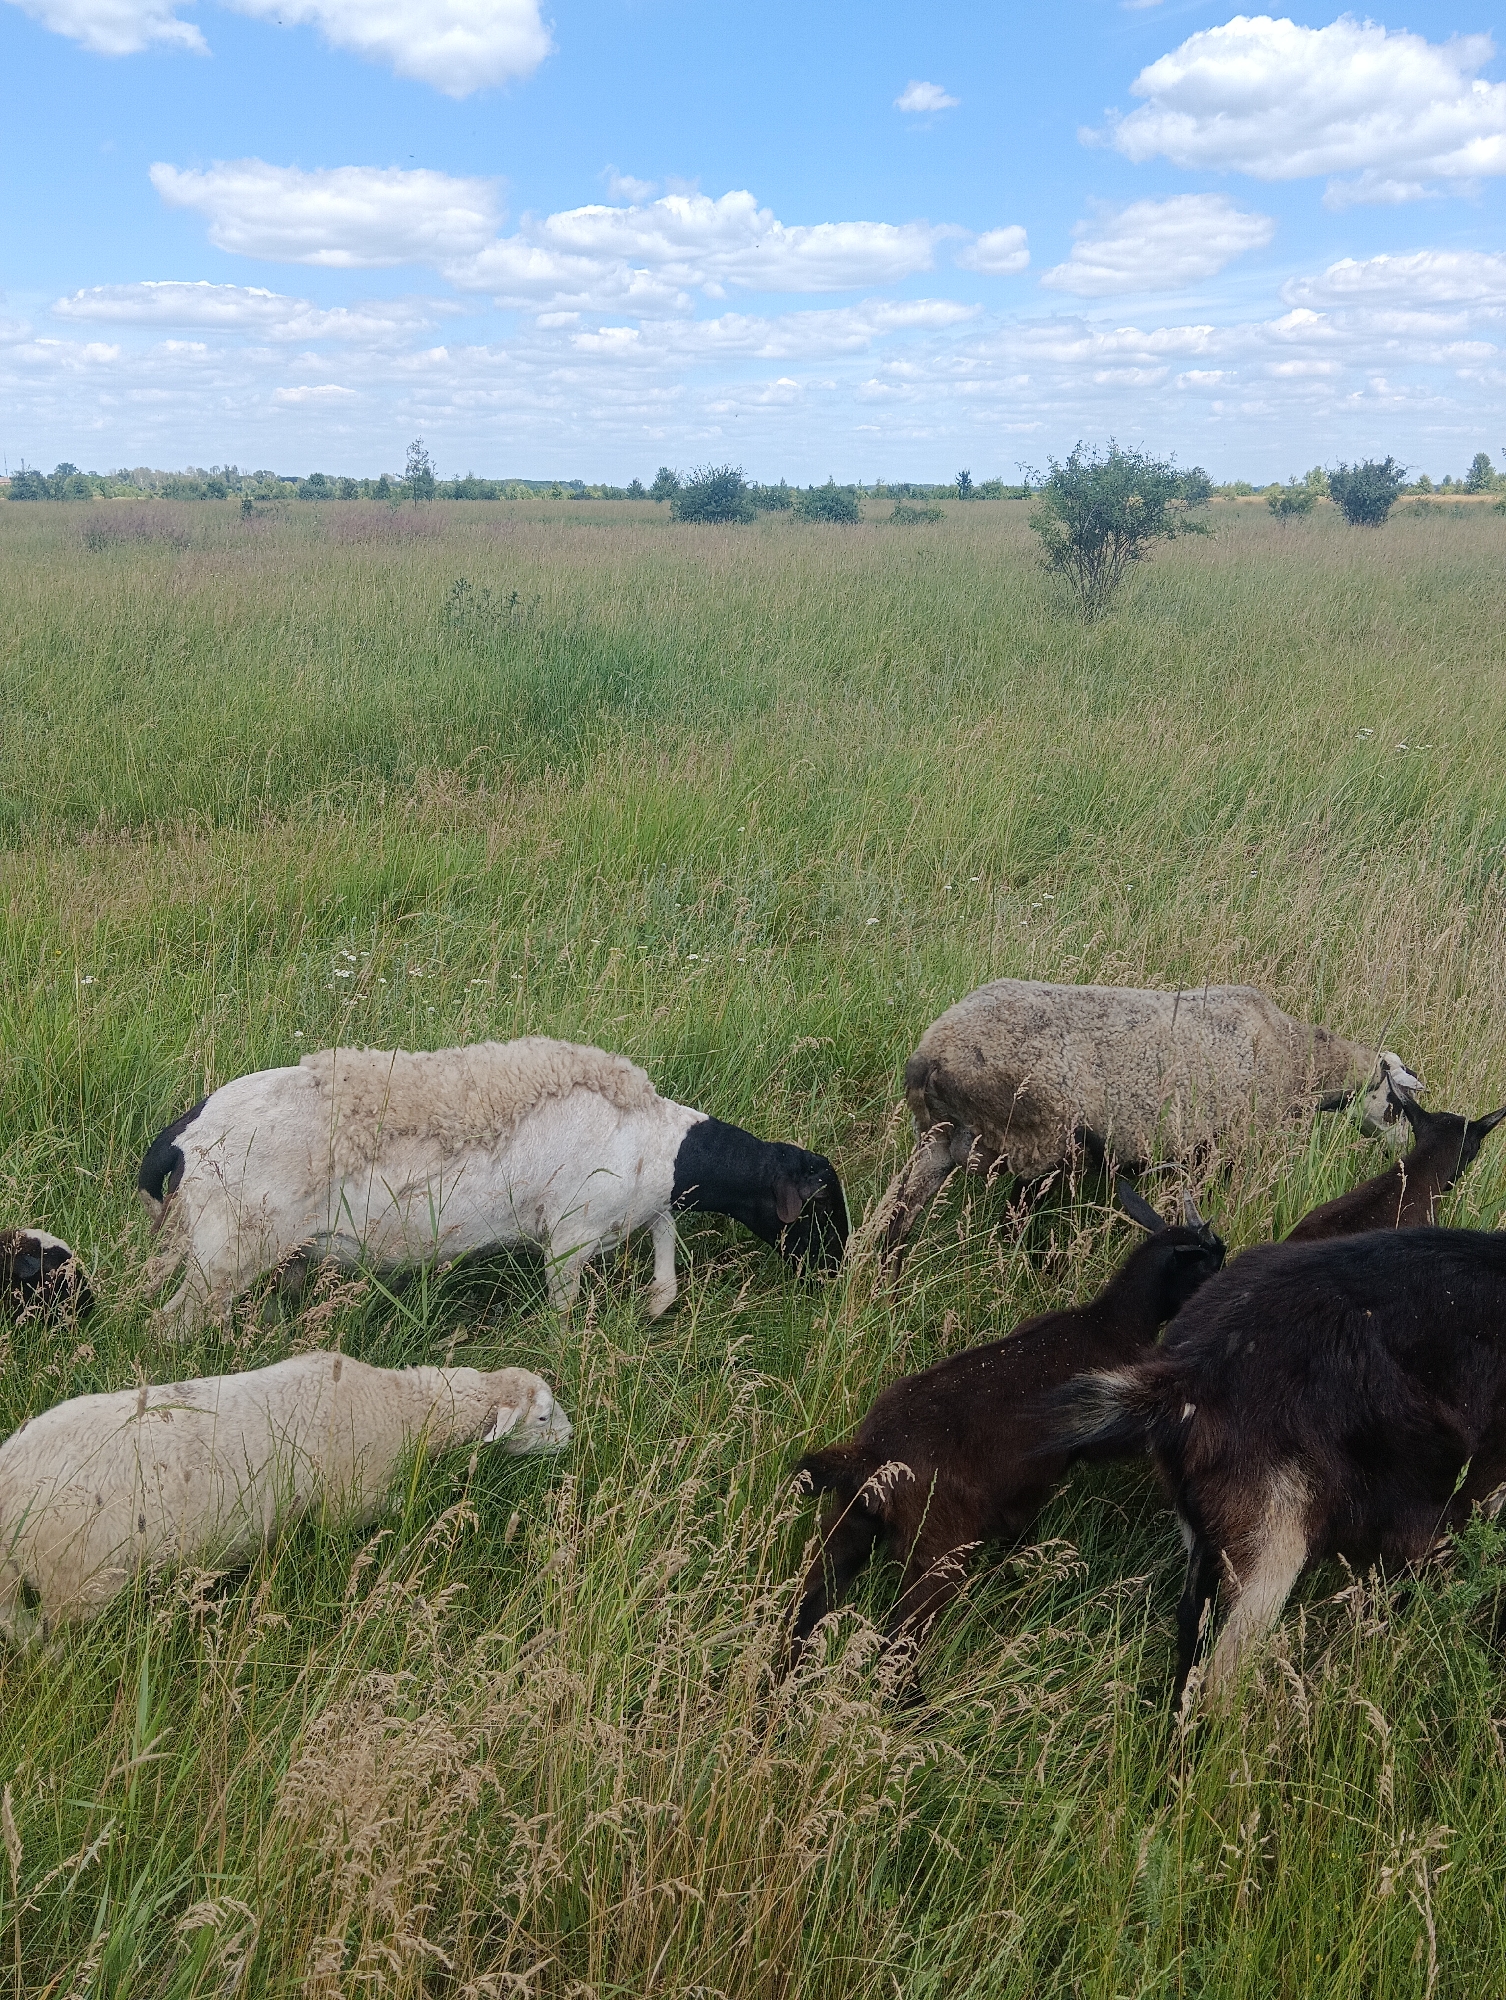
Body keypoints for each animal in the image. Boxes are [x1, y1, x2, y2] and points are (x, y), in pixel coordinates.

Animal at [0, 1349, 571, 1647]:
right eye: (543, 1416)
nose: (573, 1437)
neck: (400, 1407)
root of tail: (10, 1477)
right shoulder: (351, 1501)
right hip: (79, 1583)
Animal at [138, 1037, 848, 1331]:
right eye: (820, 1210)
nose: (835, 1274)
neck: (660, 1143)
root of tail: (182, 1135)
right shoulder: (570, 1234)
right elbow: (564, 1310)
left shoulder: (637, 1206)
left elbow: (666, 1246)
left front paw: (654, 1306)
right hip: (225, 1251)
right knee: (171, 1326)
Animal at [788, 1182, 1226, 1677]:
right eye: (1210, 1262)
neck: (1109, 1322)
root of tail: (872, 1458)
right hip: (939, 1549)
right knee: (900, 1639)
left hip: (848, 1527)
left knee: (810, 1604)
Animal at [872, 978, 1418, 1267]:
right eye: (1397, 1106)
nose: (1404, 1154)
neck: (1297, 1056)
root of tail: (929, 1058)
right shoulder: (1229, 1146)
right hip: (1036, 1141)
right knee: (1013, 1221)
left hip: (941, 1141)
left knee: (896, 1217)